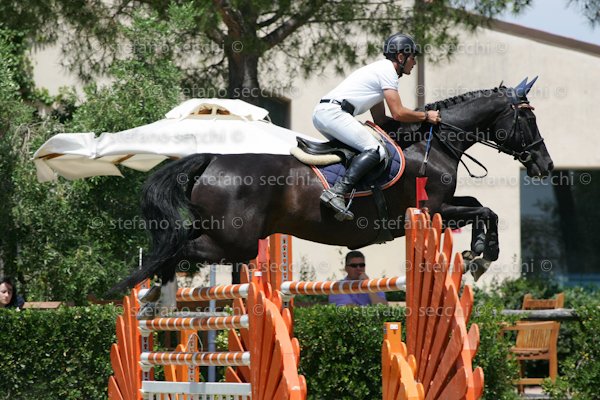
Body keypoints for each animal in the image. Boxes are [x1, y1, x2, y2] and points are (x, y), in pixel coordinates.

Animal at [113, 79, 553, 314]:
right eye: (529, 117)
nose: (545, 166)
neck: (434, 142)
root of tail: (212, 158)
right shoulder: (432, 209)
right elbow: (487, 210)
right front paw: (481, 255)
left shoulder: (442, 208)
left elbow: (483, 209)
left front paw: (476, 256)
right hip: (237, 242)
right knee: (177, 249)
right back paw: (159, 295)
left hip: (230, 238)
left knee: (177, 246)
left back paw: (154, 295)